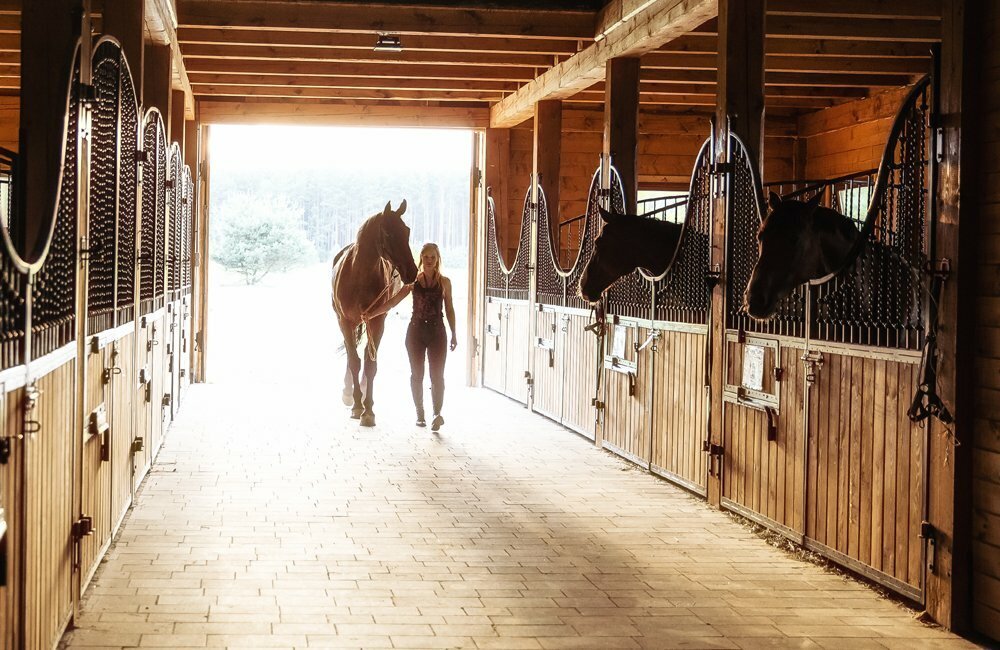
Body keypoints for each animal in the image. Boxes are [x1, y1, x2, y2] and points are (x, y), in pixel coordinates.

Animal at [332, 200, 418, 428]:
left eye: (407, 231)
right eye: (388, 233)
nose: (412, 272)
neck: (359, 275)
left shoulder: (377, 320)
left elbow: (370, 364)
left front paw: (368, 409)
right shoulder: (345, 321)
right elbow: (353, 360)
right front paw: (356, 405)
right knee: (351, 353)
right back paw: (349, 392)